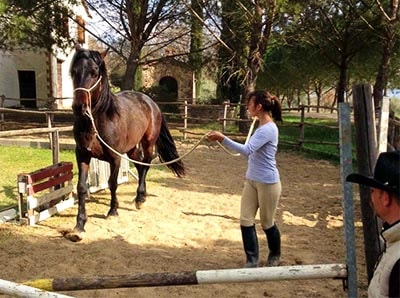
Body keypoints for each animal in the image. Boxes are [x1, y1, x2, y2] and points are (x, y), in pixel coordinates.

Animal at [65, 46, 184, 242]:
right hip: (131, 149)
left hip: (147, 143)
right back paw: (140, 196)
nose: (78, 107)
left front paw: (113, 211)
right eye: (73, 72)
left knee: (146, 164)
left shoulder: (115, 157)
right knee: (140, 166)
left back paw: (140, 199)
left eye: (94, 72)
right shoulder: (82, 154)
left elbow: (112, 183)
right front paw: (79, 226)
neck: (97, 120)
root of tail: (150, 102)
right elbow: (81, 188)